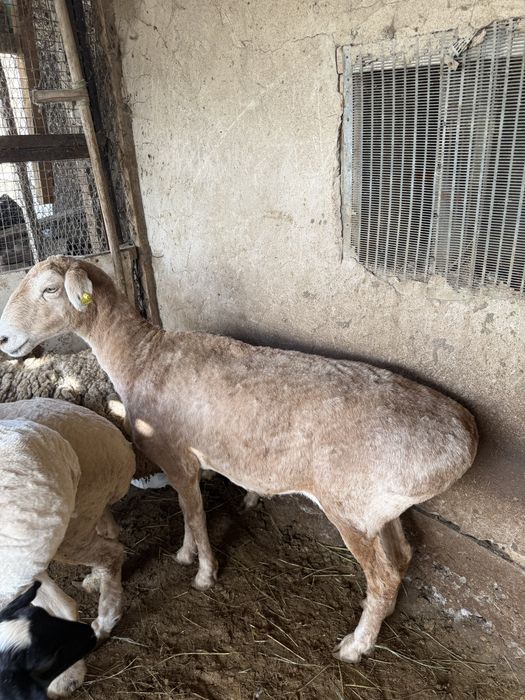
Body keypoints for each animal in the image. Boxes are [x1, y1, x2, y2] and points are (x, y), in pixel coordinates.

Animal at [0, 256, 478, 663]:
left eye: (49, 289)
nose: (4, 338)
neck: (142, 357)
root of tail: (465, 439)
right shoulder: (181, 460)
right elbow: (186, 510)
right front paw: (185, 554)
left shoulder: (176, 454)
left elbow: (195, 514)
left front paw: (204, 573)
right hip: (380, 508)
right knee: (402, 558)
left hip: (350, 507)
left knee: (383, 576)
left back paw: (357, 645)